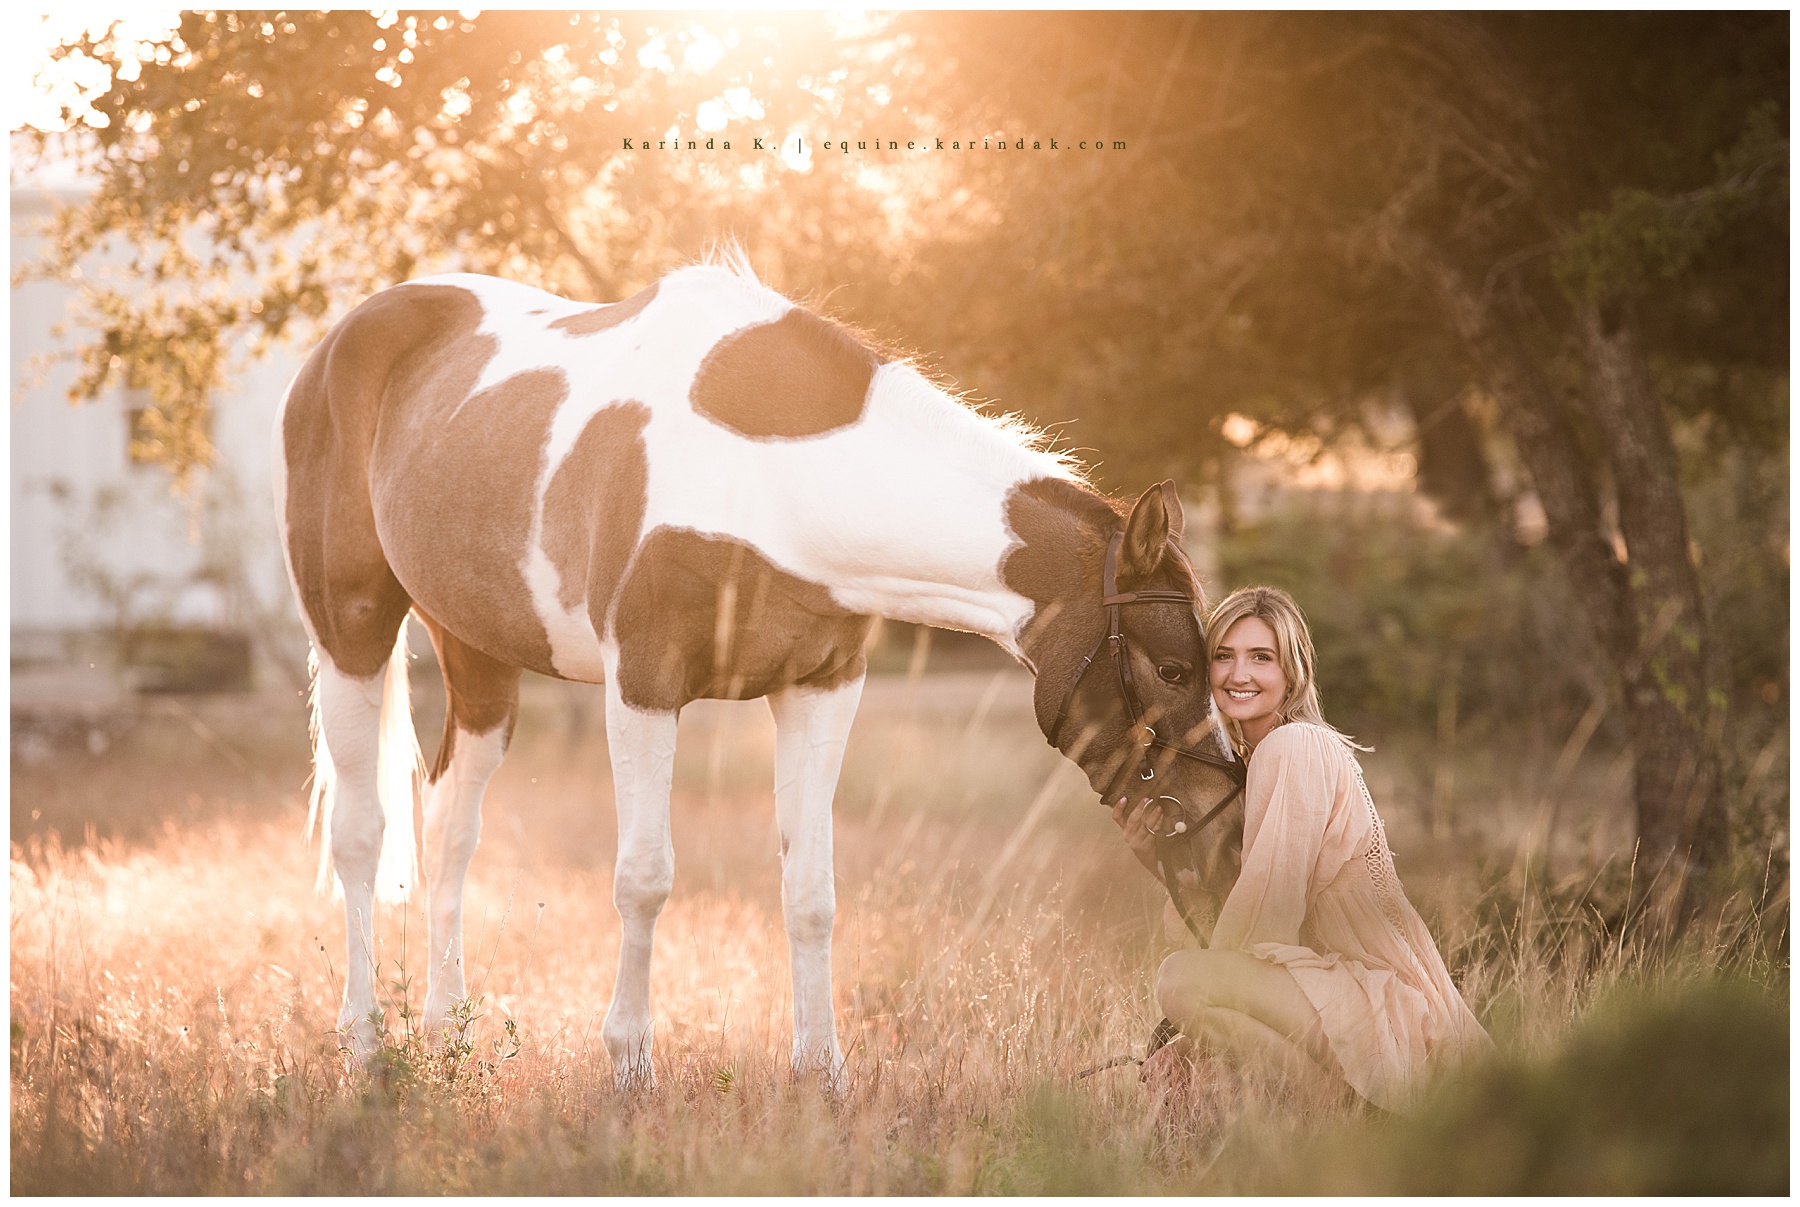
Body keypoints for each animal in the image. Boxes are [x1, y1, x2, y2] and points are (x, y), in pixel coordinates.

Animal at [275, 252, 1245, 1087]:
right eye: (1170, 667)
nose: (1230, 831)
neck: (773, 479)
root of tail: (341, 340)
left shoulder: (820, 689)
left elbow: (810, 888)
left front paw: (822, 1071)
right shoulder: (642, 687)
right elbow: (644, 878)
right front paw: (631, 1064)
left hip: (478, 653)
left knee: (449, 826)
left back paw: (449, 1032)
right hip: (351, 630)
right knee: (361, 834)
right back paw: (365, 1043)